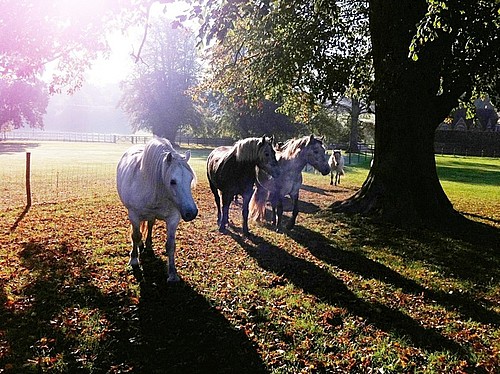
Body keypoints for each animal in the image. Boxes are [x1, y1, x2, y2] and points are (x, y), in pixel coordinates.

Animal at [117, 137, 197, 280]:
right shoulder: (134, 216)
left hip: (151, 216)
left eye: (190, 179)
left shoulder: (173, 219)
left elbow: (170, 245)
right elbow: (135, 236)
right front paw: (134, 259)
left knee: (149, 226)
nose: (191, 212)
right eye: (172, 181)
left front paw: (172, 274)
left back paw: (148, 244)